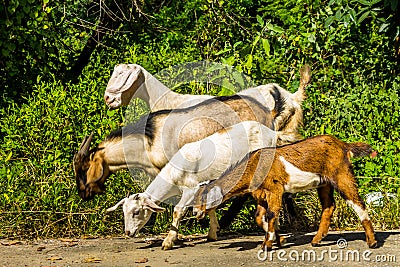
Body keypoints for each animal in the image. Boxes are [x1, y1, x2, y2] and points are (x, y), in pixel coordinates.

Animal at [104, 121, 276, 251]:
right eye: (123, 211)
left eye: (137, 212)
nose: (128, 232)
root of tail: (271, 133)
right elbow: (210, 207)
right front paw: (213, 233)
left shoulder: (191, 189)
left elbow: (177, 211)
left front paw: (168, 241)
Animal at [194, 136, 378, 251]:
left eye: (203, 197)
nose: (196, 212)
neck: (253, 166)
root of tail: (344, 145)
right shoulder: (261, 195)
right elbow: (260, 217)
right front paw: (279, 240)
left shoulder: (275, 190)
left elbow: (271, 214)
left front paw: (267, 245)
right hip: (324, 182)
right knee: (329, 206)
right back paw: (316, 240)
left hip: (341, 174)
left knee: (357, 202)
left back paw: (372, 241)